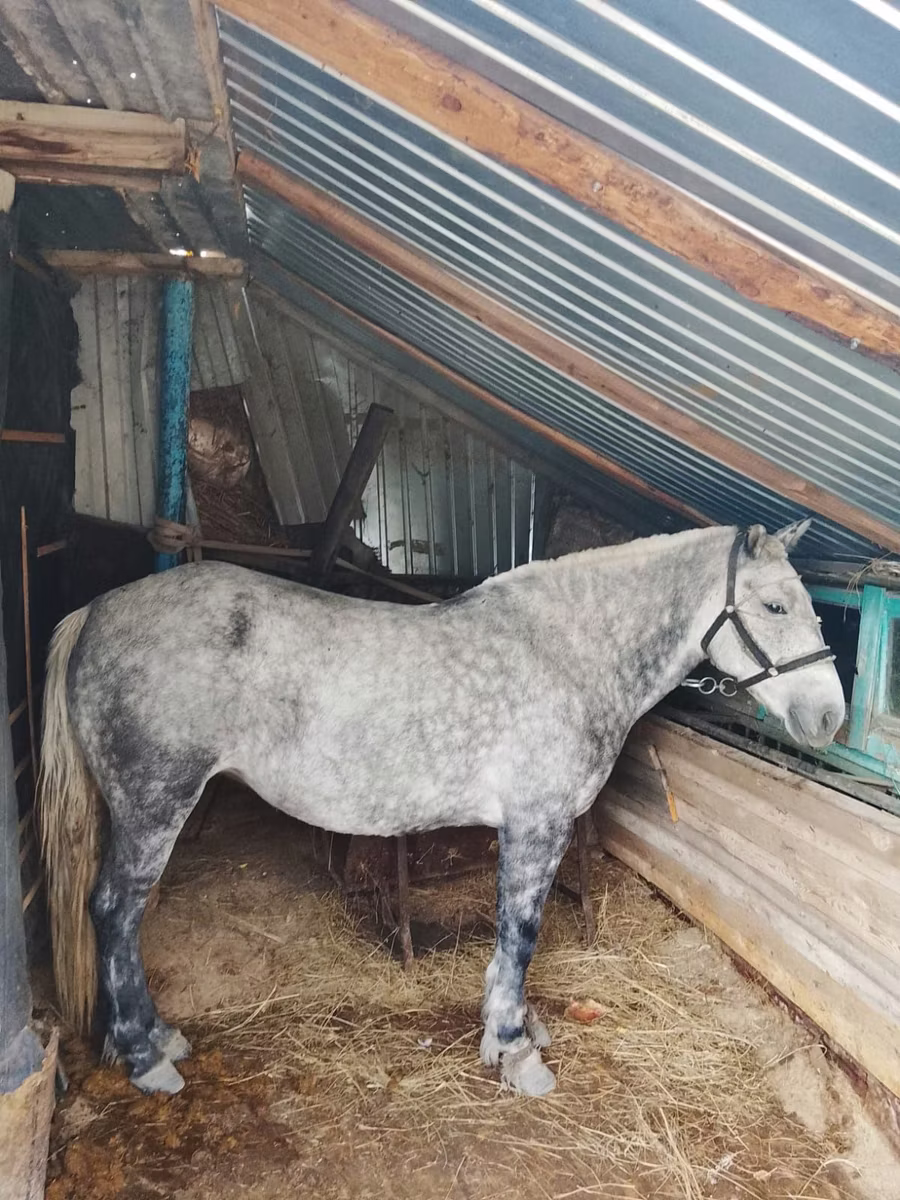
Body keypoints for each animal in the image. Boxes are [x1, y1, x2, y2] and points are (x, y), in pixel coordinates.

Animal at [38, 520, 844, 1096]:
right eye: (775, 605)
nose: (829, 718)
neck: (567, 651)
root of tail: (95, 611)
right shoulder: (536, 823)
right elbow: (521, 932)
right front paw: (516, 1053)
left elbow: (511, 935)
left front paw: (511, 1030)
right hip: (154, 803)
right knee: (114, 911)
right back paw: (146, 1057)